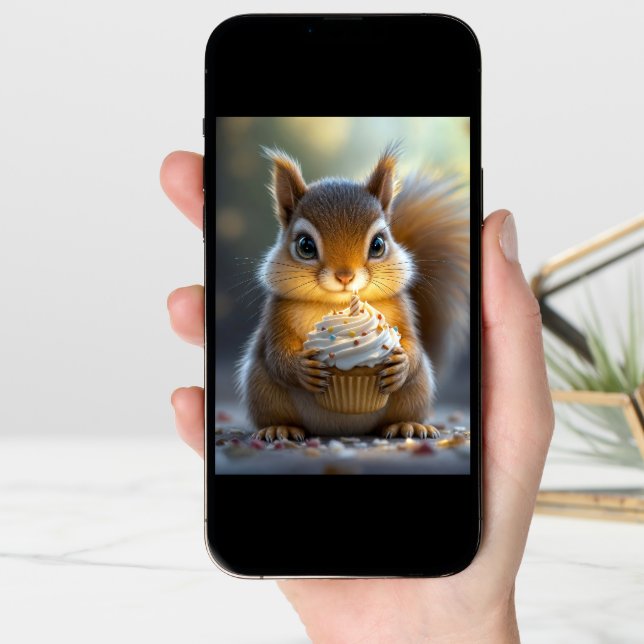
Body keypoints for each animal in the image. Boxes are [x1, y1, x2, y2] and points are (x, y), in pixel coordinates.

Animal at [235, 143, 470, 441]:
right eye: (305, 246)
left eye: (378, 244)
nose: (345, 276)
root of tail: (343, 429)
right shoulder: (277, 312)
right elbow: (276, 353)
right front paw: (302, 369)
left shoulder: (401, 308)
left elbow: (412, 343)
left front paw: (402, 363)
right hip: (261, 387)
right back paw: (280, 428)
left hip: (417, 389)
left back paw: (407, 425)